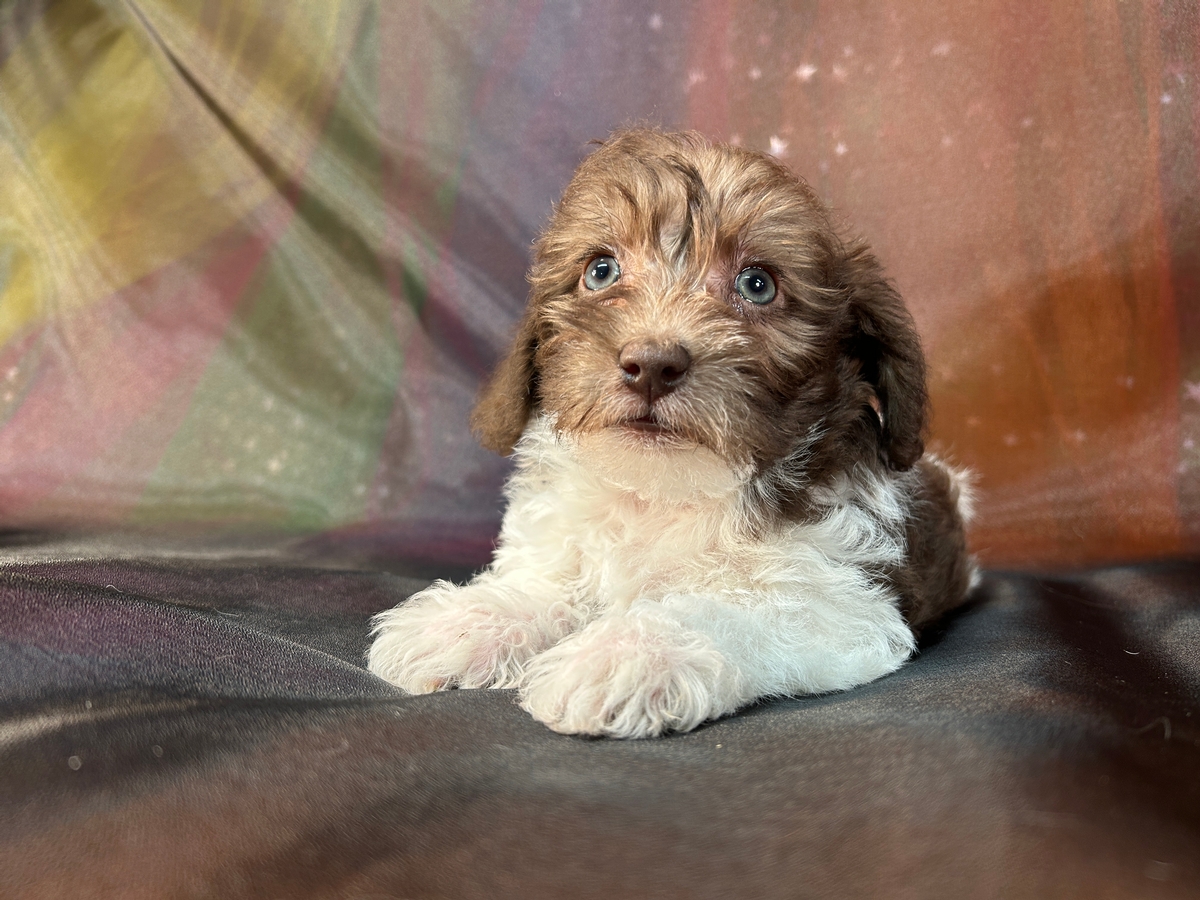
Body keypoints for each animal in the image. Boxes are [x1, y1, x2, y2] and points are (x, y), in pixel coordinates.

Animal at [364, 130, 974, 744]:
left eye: (758, 285)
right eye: (601, 270)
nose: (651, 366)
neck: (663, 488)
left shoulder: (841, 602)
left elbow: (724, 609)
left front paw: (627, 653)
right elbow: (553, 583)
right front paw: (475, 619)